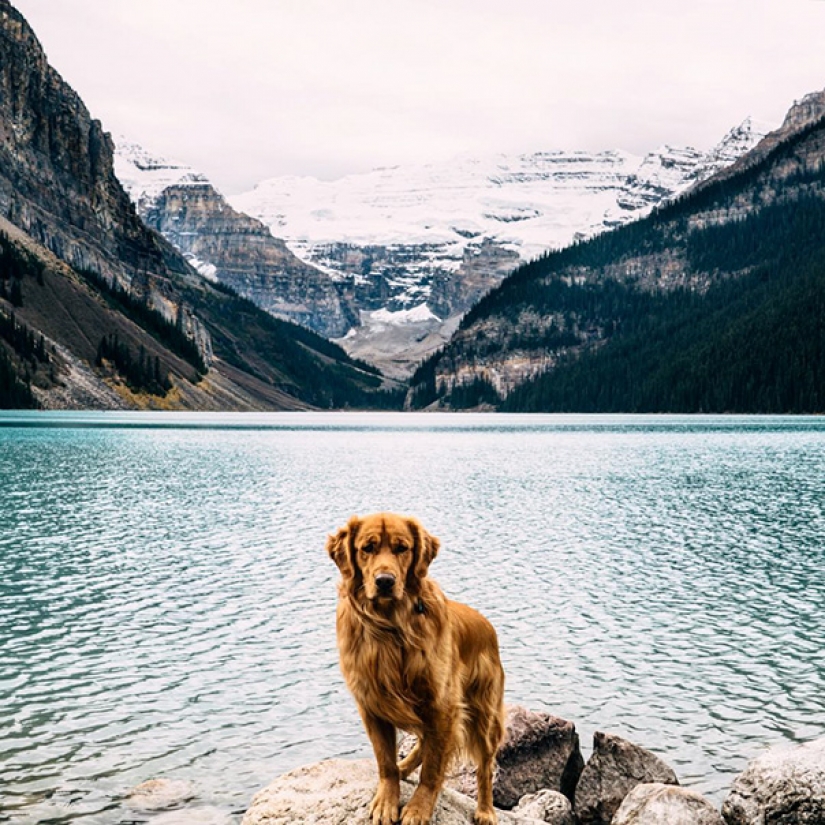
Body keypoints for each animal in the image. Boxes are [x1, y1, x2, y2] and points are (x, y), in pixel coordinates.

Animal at [326, 512, 506, 820]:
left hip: (484, 712)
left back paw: (485, 811)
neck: (391, 627)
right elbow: (385, 760)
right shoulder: (372, 703)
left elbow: (433, 767)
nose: (385, 581)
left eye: (402, 548)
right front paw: (387, 799)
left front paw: (419, 807)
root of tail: (486, 624)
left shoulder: (441, 702)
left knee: (484, 766)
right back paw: (404, 768)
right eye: (367, 548)